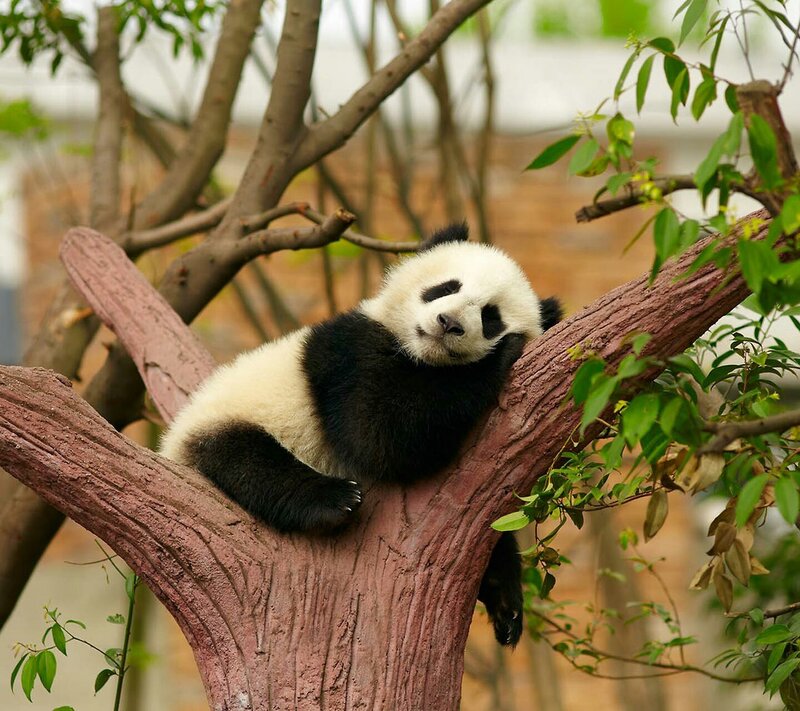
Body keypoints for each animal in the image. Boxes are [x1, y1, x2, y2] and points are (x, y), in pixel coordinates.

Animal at [160, 223, 562, 646]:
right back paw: (332, 500)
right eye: (446, 287)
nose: (448, 322)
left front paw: (505, 598)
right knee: (248, 460)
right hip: (226, 420)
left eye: (490, 317)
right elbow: (378, 434)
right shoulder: (347, 353)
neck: (421, 355)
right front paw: (500, 357)